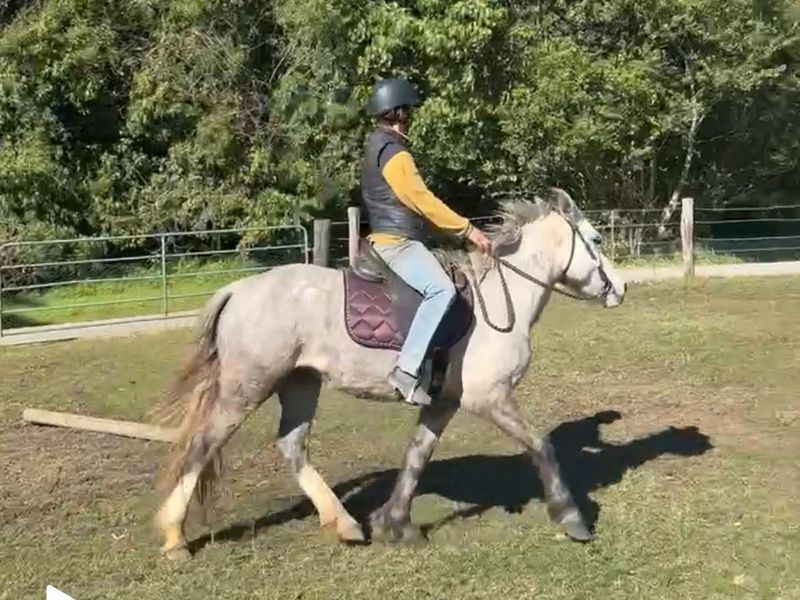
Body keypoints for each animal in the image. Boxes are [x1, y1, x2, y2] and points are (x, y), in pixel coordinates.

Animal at [154, 188, 627, 559]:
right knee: (203, 445)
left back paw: (344, 523)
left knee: (292, 446)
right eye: (596, 239)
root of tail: (238, 289)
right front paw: (571, 517)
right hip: (247, 386)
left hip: (300, 382)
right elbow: (541, 446)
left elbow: (416, 457)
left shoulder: (443, 403)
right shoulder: (489, 398)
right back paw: (175, 538)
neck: (498, 298)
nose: (620, 289)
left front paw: (395, 523)